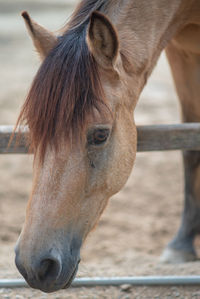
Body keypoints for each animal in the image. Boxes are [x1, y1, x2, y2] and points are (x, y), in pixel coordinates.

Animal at [14, 0, 200, 294]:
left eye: (100, 135)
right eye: (34, 129)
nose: (35, 266)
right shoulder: (181, 52)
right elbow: (190, 148)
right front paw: (182, 244)